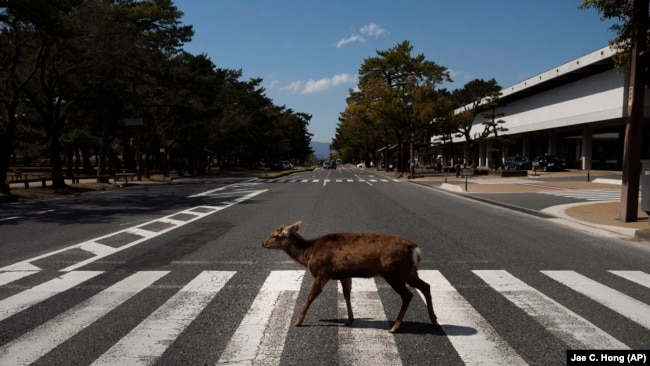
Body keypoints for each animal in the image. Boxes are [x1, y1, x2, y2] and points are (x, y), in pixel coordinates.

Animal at [262, 222, 436, 334]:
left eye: (275, 236)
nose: (263, 243)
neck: (308, 254)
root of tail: (415, 250)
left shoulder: (322, 272)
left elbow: (310, 296)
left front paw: (298, 321)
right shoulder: (344, 275)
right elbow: (347, 295)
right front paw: (350, 320)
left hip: (394, 272)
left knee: (408, 295)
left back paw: (395, 327)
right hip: (409, 272)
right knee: (426, 286)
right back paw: (434, 319)